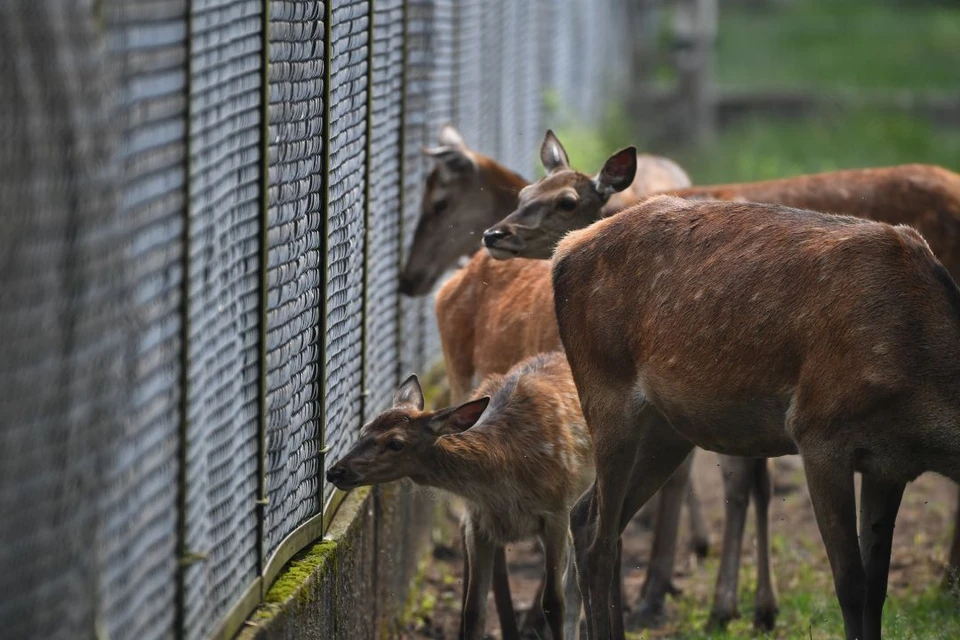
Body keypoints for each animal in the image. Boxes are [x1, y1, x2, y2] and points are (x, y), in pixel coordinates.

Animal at [326, 352, 588, 636]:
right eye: (363, 430)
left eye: (395, 443)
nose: (335, 471)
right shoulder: (478, 521)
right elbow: (473, 609)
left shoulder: (556, 509)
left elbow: (554, 602)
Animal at [488, 132, 960, 628]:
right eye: (522, 194)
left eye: (566, 200)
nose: (494, 234)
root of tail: (566, 249)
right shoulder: (819, 431)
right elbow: (850, 582)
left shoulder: (891, 463)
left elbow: (876, 585)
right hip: (607, 396)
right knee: (599, 537)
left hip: (666, 429)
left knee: (590, 519)